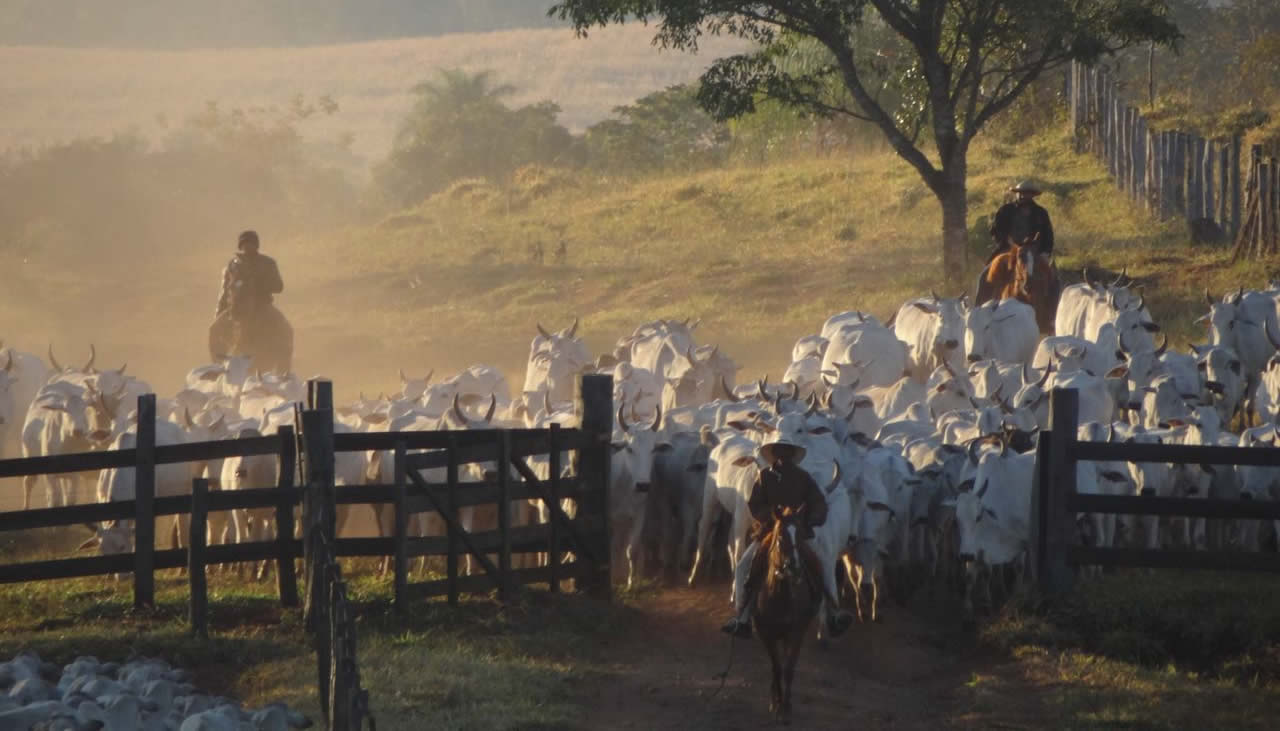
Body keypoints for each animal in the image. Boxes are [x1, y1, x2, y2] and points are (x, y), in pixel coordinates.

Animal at [747, 506, 819, 722]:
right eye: (780, 536)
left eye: (801, 534)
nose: (794, 567)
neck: (780, 597)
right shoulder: (766, 633)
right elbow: (777, 667)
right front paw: (777, 704)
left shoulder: (795, 633)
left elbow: (788, 668)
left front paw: (786, 707)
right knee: (774, 665)